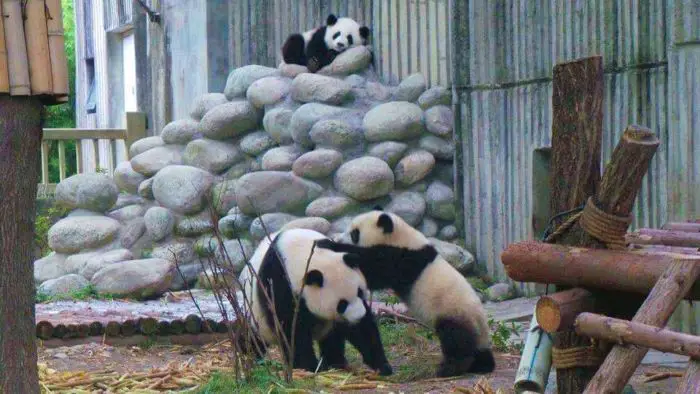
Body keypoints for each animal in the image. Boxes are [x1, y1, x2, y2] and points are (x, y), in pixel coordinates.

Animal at [238, 226, 392, 374]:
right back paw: (248, 353)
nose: (358, 316)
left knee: (333, 337)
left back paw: (335, 362)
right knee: (252, 337)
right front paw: (308, 366)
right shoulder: (278, 284)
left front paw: (382, 365)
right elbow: (292, 329)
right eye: (341, 304)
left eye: (360, 292)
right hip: (255, 316)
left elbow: (361, 330)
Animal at [314, 208, 494, 378]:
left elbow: (374, 268)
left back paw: (449, 369)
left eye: (354, 233)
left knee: (456, 340)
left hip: (454, 312)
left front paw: (328, 244)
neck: (403, 238)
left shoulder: (403, 260)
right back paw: (482, 365)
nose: (339, 238)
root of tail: (481, 323)